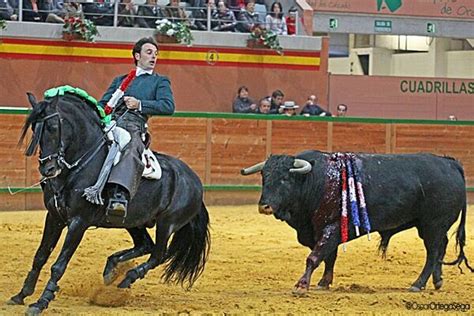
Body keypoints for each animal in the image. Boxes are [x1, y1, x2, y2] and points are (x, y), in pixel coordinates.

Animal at [7, 94, 210, 316]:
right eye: (34, 128)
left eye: (52, 127)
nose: (48, 169)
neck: (80, 164)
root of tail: (193, 179)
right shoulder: (54, 217)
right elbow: (40, 255)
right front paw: (21, 295)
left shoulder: (79, 222)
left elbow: (59, 265)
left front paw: (41, 302)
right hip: (133, 221)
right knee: (145, 245)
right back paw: (111, 271)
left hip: (167, 224)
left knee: (159, 254)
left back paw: (126, 279)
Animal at [243, 152, 472, 292]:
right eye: (264, 177)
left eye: (285, 179)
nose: (264, 206)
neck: (316, 180)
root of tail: (449, 163)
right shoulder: (322, 231)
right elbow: (329, 258)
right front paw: (324, 282)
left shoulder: (331, 228)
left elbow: (314, 257)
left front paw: (302, 285)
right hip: (432, 226)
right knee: (441, 247)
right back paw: (437, 281)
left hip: (433, 224)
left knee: (433, 252)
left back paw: (418, 283)